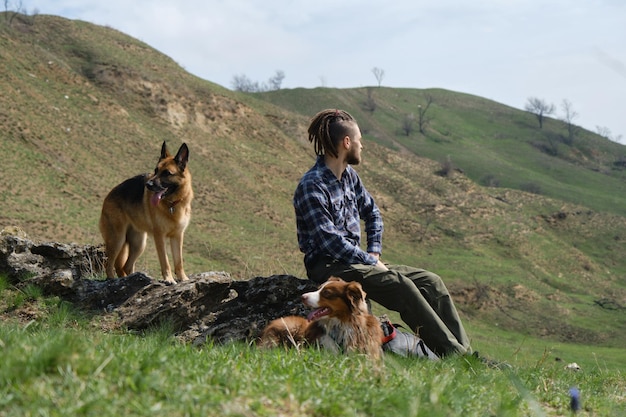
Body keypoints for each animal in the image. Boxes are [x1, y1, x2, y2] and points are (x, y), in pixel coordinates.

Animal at [98, 142, 191, 282]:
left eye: (167, 173)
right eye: (156, 170)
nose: (148, 184)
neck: (172, 204)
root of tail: (109, 195)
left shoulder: (178, 236)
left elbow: (178, 261)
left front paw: (183, 279)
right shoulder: (160, 237)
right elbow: (165, 261)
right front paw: (169, 279)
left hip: (139, 244)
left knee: (126, 266)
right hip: (117, 240)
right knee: (109, 264)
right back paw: (112, 280)